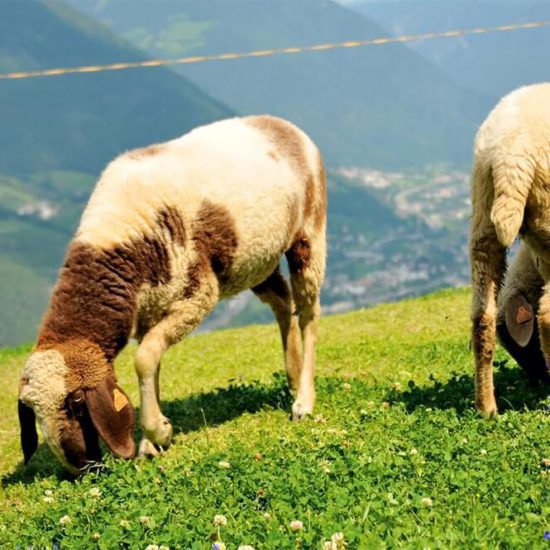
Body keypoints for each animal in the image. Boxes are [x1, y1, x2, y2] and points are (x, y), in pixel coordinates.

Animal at [18, 116, 328, 474]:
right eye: (33, 412)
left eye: (77, 403)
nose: (82, 469)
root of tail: (279, 123)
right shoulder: (150, 308)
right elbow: (151, 363)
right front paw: (150, 443)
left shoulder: (198, 294)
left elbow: (143, 359)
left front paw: (159, 432)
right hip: (256, 259)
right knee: (282, 302)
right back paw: (291, 375)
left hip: (309, 233)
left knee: (308, 314)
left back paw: (304, 400)